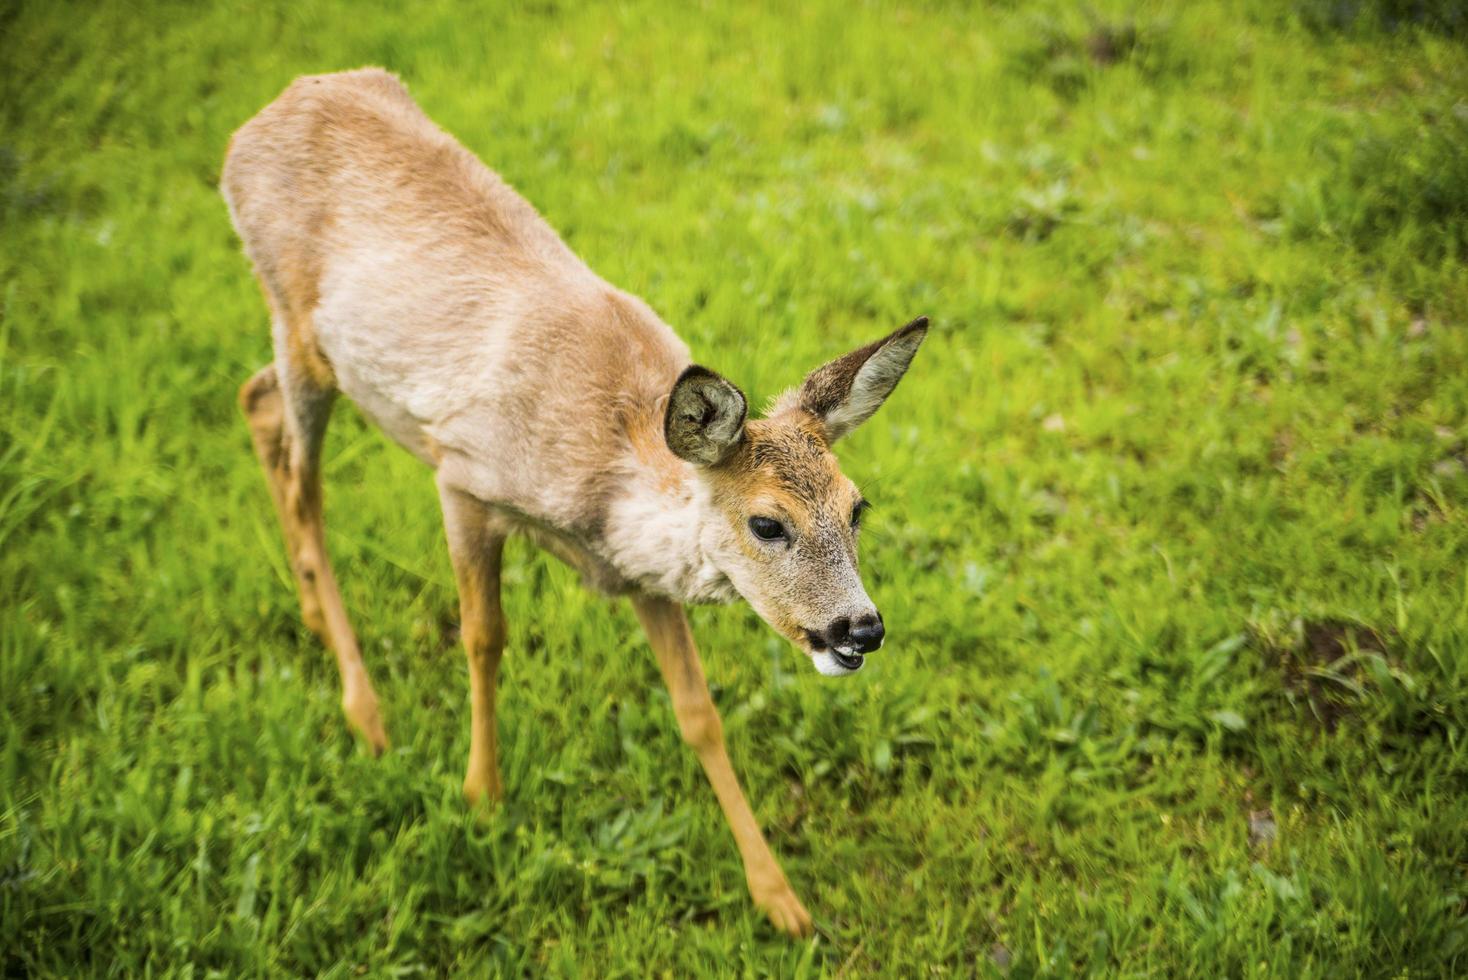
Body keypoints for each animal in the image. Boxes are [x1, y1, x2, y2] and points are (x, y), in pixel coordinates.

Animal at [217, 64, 927, 938]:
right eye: (767, 522)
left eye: (858, 507)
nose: (860, 627)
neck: (607, 486)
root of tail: (260, 118)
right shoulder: (462, 474)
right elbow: (483, 637)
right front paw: (481, 797)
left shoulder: (641, 579)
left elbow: (698, 711)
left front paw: (780, 900)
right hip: (296, 321)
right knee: (301, 482)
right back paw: (365, 712)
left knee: (255, 403)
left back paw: (317, 620)